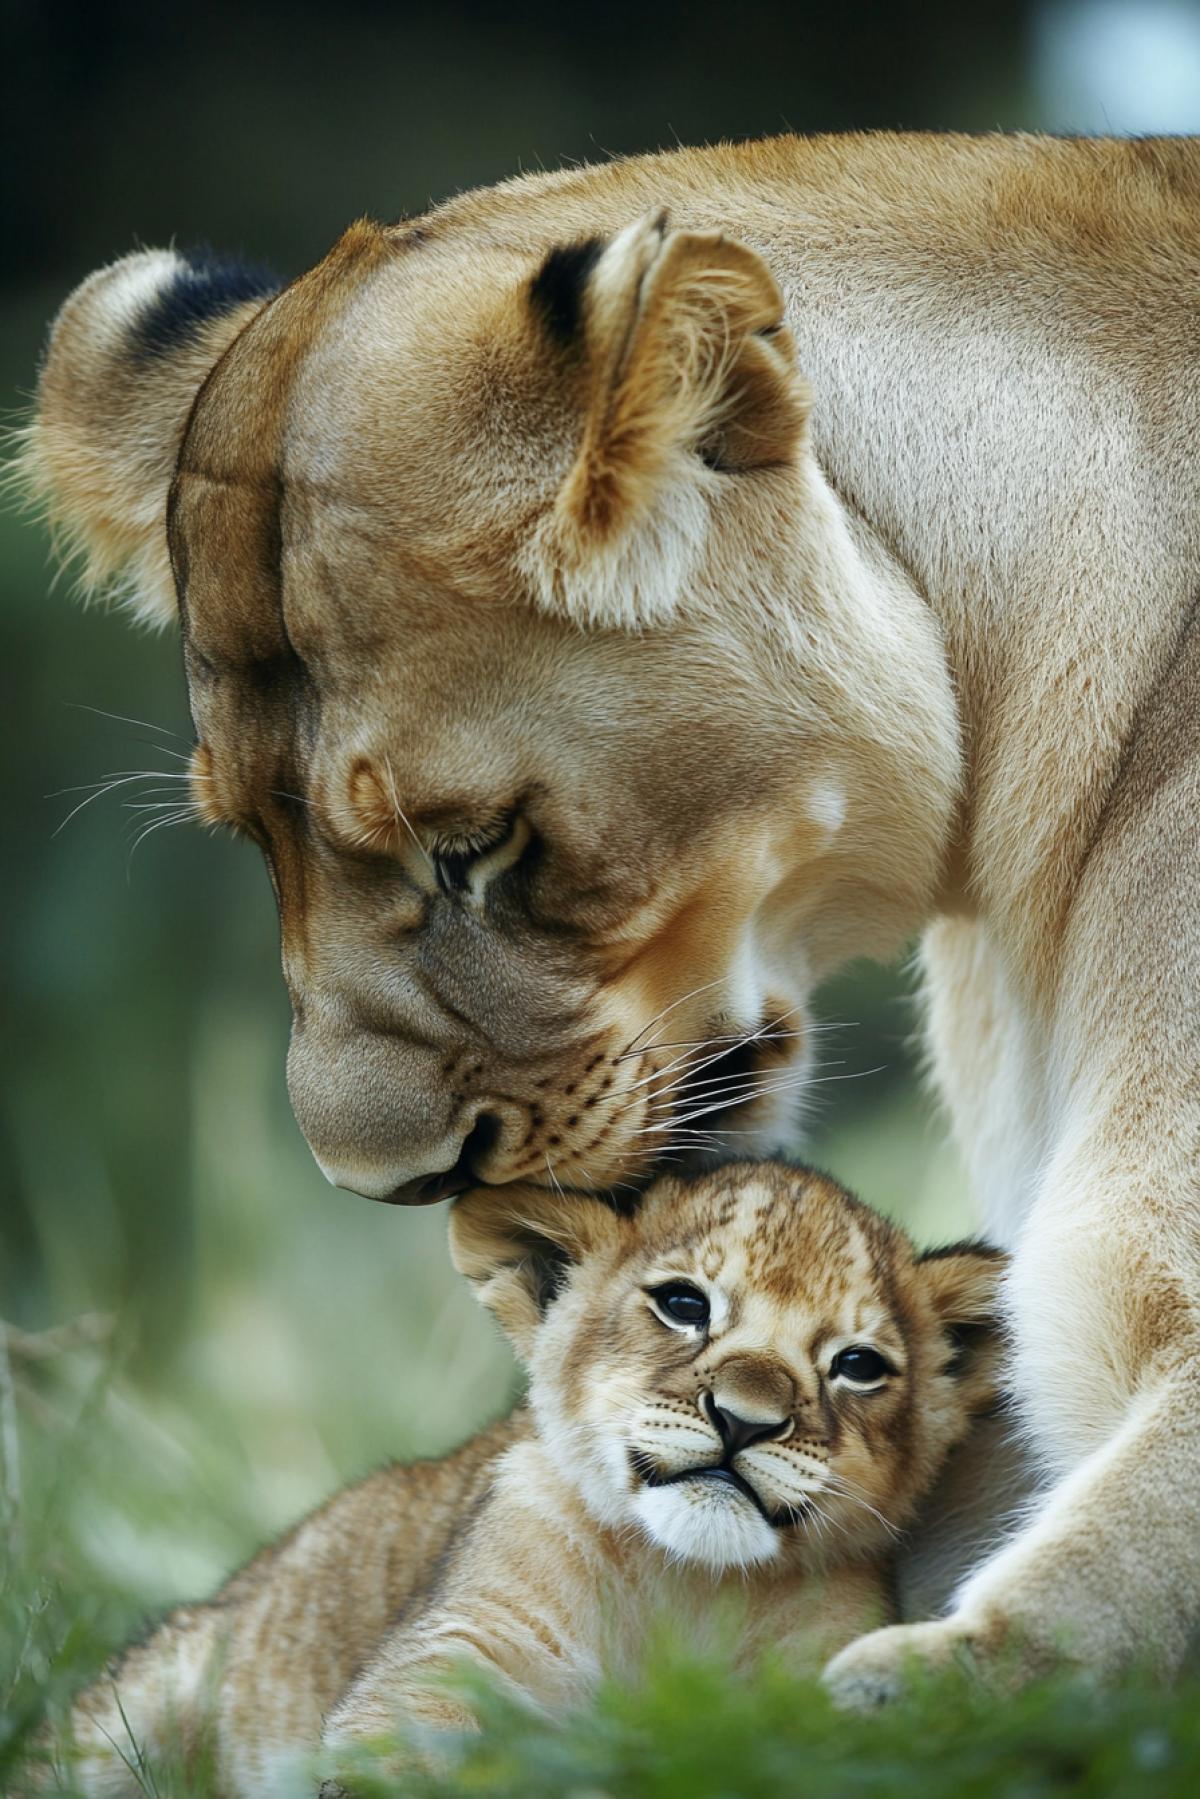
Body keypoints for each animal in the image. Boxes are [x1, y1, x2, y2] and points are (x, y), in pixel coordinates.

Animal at [50, 1163, 1003, 1795]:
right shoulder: (453, 1646)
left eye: (858, 1364)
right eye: (683, 1304)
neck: (684, 1579)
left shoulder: (829, 1665)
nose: (745, 1419)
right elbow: (395, 1752)